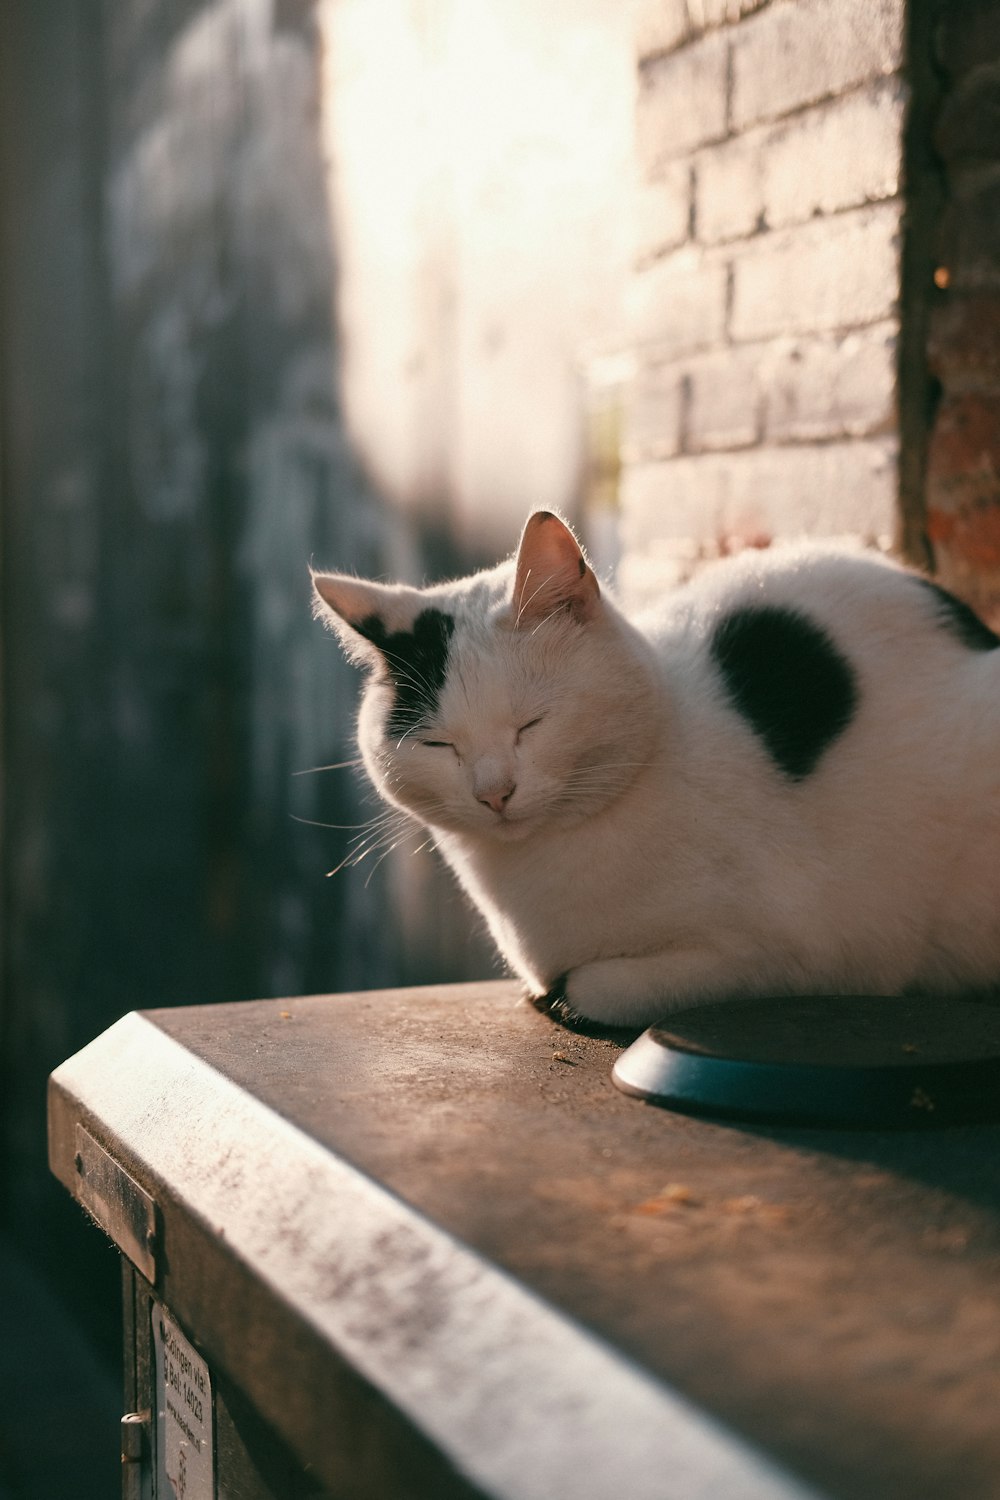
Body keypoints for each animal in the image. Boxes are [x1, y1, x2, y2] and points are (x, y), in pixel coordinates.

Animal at [313, 510, 1000, 1026]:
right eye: (440, 745)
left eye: (531, 724)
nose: (494, 793)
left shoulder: (803, 952)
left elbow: (597, 987)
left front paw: (565, 996)